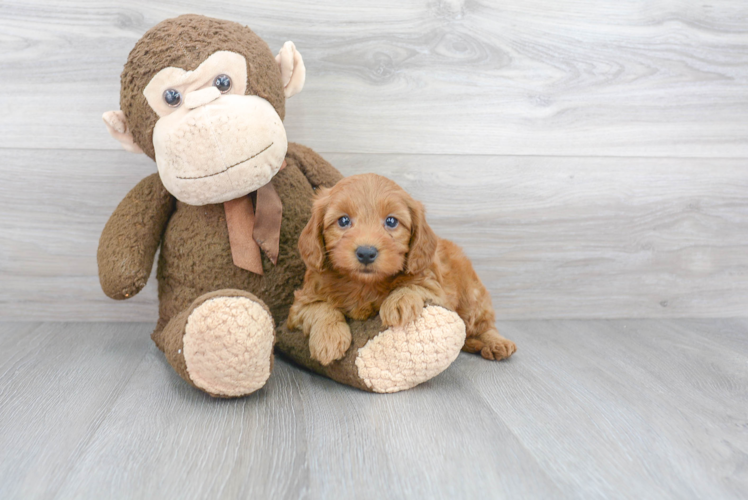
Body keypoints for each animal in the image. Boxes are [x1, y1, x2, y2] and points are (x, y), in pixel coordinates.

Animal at [286, 174, 516, 366]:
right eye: (343, 220)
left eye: (391, 221)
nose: (366, 253)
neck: (363, 285)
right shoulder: (300, 304)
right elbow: (321, 308)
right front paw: (328, 338)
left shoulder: (437, 289)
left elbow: (414, 286)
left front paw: (398, 302)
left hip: (472, 297)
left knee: (484, 325)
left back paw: (497, 343)